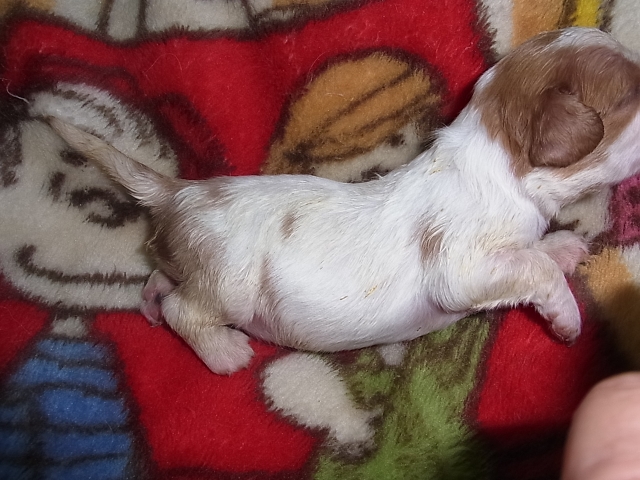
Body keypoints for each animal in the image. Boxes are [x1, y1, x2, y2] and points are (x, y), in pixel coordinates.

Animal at [48, 27, 640, 375]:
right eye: (632, 93)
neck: (496, 166)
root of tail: (180, 190)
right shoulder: (460, 265)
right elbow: (534, 268)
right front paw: (566, 315)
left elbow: (537, 253)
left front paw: (564, 246)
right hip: (228, 285)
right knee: (184, 310)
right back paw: (224, 352)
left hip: (186, 262)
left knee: (159, 279)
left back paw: (150, 301)